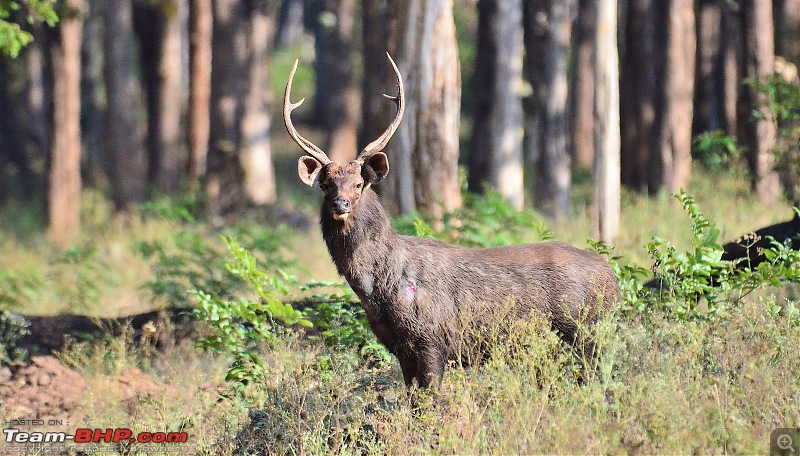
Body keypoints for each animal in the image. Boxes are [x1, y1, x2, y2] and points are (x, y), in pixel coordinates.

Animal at [284, 54, 620, 388]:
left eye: (358, 184)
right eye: (326, 185)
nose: (340, 204)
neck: (381, 288)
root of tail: (613, 281)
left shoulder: (432, 338)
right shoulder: (400, 347)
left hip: (585, 331)